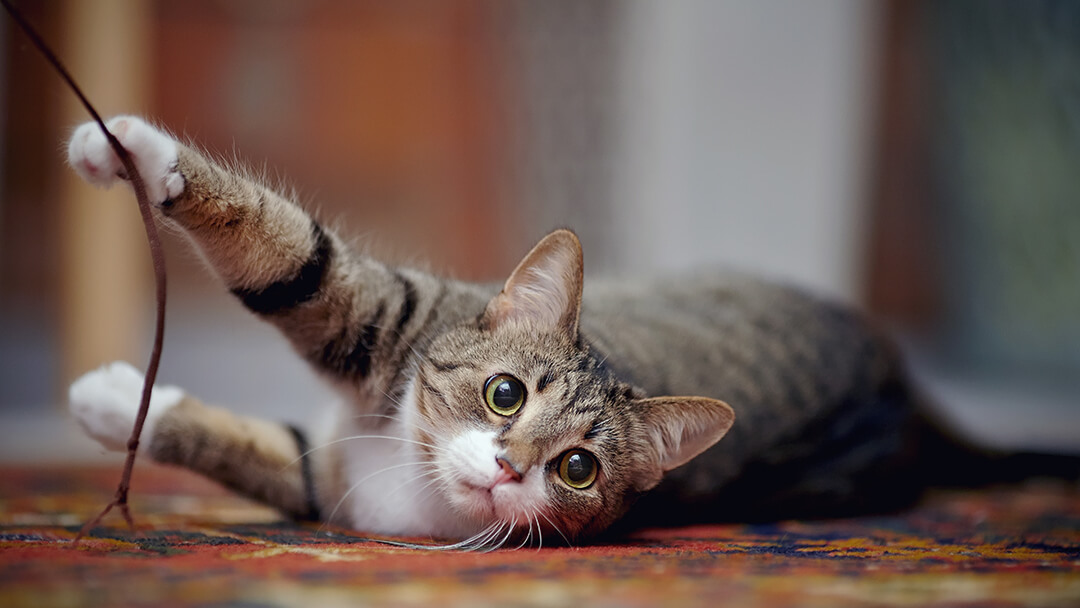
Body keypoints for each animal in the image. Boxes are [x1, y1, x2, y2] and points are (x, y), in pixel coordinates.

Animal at [63, 117, 1006, 546]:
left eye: (578, 469)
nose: (511, 466)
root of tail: (908, 394)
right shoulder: (361, 386)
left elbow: (292, 259)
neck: (407, 474)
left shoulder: (338, 430)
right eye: (504, 393)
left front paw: (109, 400)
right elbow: (279, 277)